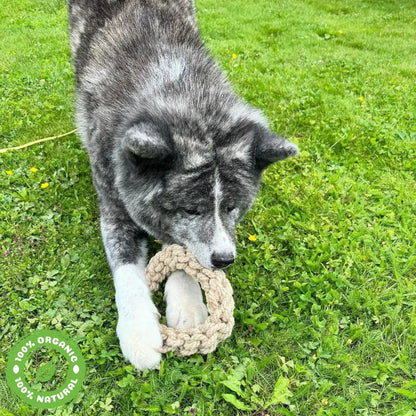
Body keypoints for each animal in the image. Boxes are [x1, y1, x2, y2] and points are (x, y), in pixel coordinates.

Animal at [67, 0, 296, 370]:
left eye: (232, 207)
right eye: (190, 209)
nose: (224, 260)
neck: (176, 89)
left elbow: (182, 252)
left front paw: (187, 304)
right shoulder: (115, 209)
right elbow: (128, 271)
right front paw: (138, 332)